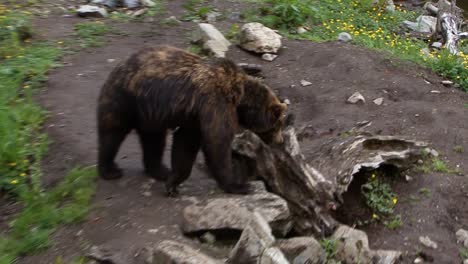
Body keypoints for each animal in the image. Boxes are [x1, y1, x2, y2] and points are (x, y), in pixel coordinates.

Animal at [97, 44, 288, 195]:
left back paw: (160, 170)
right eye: (278, 124)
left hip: (150, 114)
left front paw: (173, 182)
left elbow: (185, 145)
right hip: (125, 100)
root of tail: (118, 66)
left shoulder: (195, 118)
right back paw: (109, 170)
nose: (280, 140)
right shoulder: (216, 104)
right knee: (112, 134)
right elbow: (217, 143)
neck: (240, 99)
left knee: (154, 140)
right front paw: (239, 185)